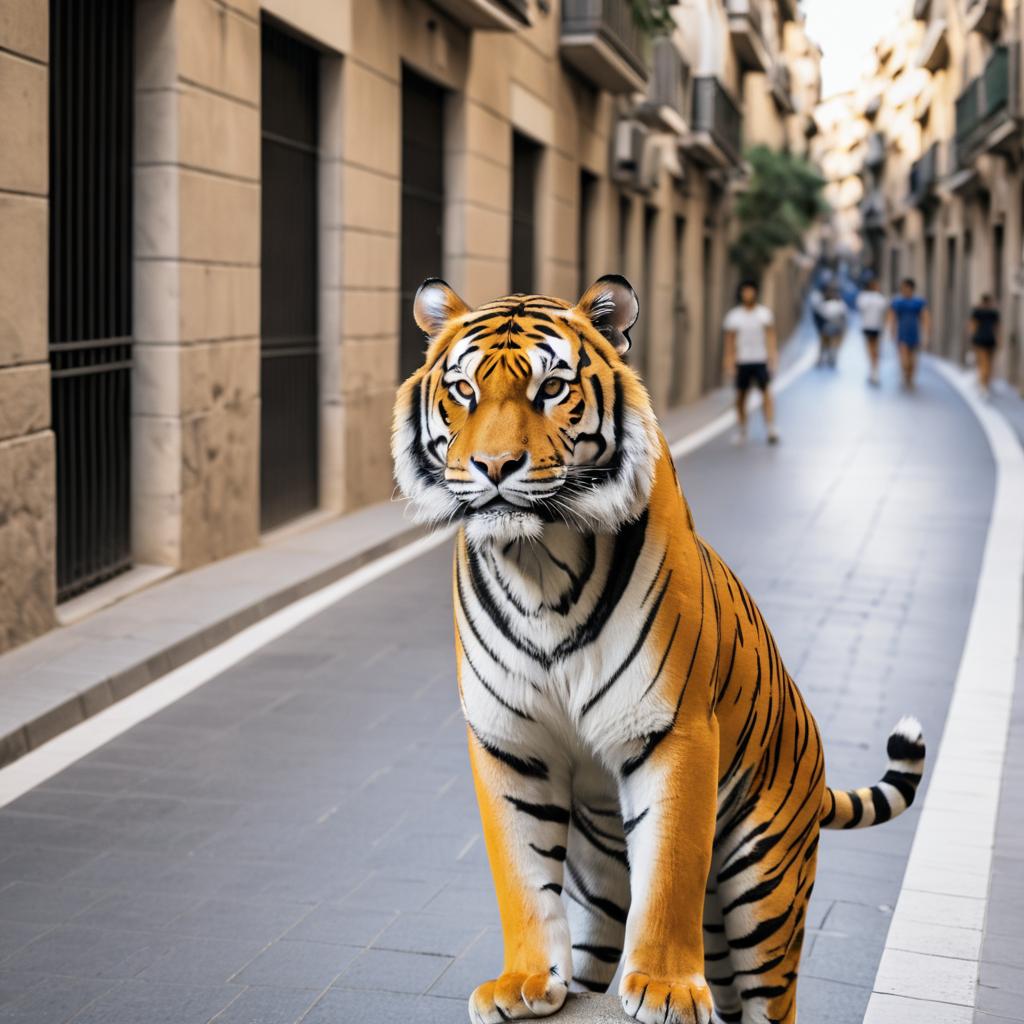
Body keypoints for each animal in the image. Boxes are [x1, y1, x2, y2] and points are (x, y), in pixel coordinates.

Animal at [391, 274, 929, 1024]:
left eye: (550, 388)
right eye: (465, 390)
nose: (494, 466)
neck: (539, 565)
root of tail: (815, 763)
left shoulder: (674, 727)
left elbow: (671, 865)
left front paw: (667, 988)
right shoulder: (509, 740)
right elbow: (521, 874)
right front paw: (523, 981)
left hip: (763, 893)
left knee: (769, 996)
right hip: (607, 885)